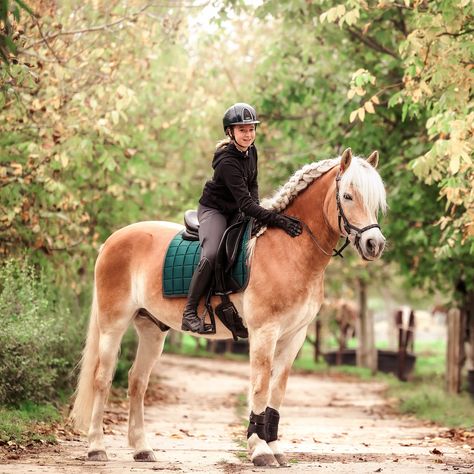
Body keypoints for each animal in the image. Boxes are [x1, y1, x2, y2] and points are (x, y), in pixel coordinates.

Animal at [71, 148, 388, 466]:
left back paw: (142, 448)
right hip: (113, 325)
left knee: (137, 382)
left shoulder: (294, 335)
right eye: (347, 196)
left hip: (151, 329)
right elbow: (260, 386)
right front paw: (260, 449)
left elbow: (277, 390)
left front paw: (274, 447)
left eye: (375, 200)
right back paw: (96, 447)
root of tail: (113, 240)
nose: (374, 244)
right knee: (103, 379)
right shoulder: (264, 332)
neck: (289, 249)